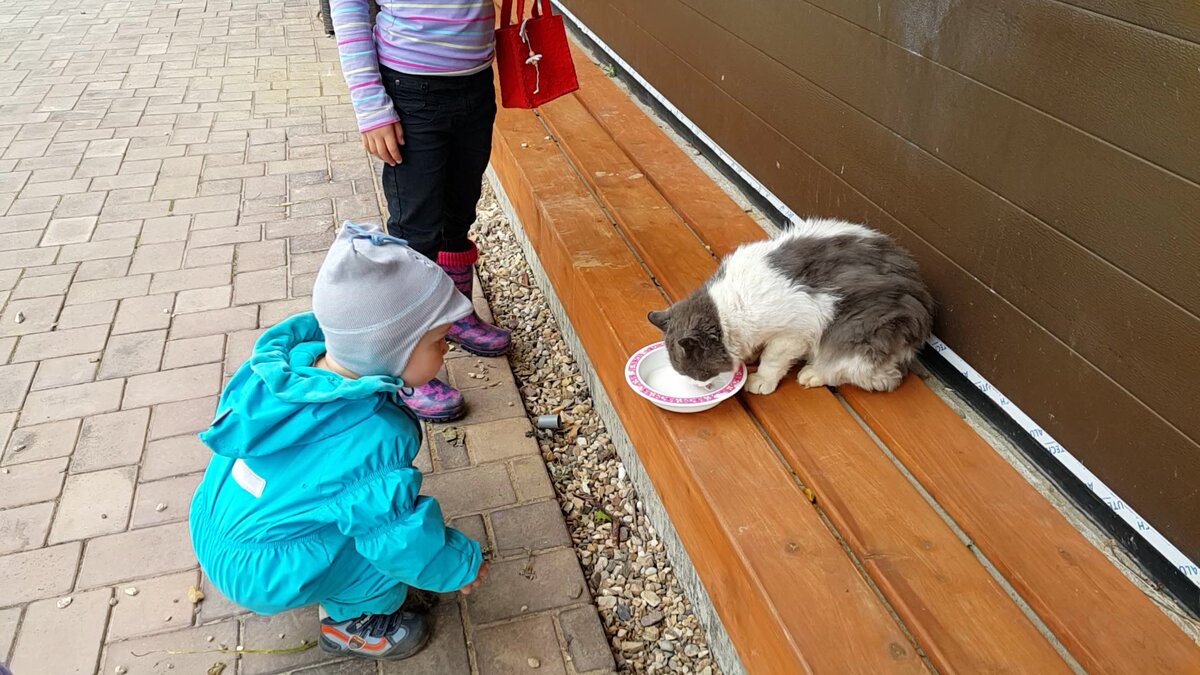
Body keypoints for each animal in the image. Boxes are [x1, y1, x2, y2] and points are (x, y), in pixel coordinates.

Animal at [652, 214, 931, 393]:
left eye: (696, 373)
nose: (698, 386)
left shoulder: (793, 334)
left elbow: (772, 359)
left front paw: (760, 379)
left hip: (858, 333)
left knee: (875, 376)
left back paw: (813, 374)